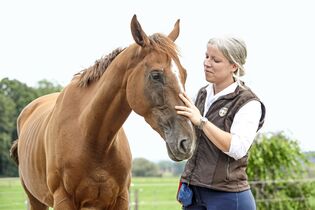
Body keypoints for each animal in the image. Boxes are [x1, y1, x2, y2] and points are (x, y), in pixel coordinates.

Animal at [10, 15, 195, 210]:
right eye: (156, 75)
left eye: (184, 74)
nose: (187, 142)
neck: (91, 137)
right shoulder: (63, 200)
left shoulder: (121, 199)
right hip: (35, 199)